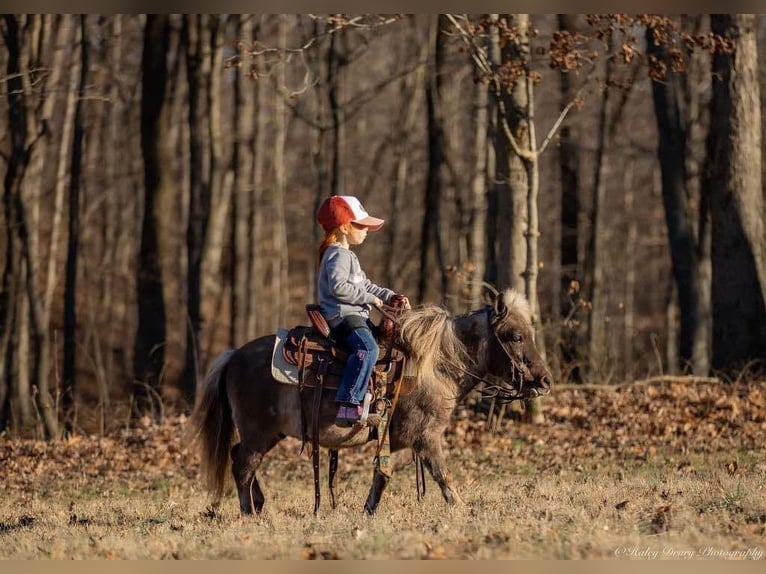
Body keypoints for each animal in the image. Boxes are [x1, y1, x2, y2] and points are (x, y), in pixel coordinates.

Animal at [190, 290, 552, 516]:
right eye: (516, 336)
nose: (544, 380)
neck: (436, 363)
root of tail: (233, 355)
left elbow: (383, 474)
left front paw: (369, 510)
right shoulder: (428, 437)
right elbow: (442, 476)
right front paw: (462, 509)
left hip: (266, 435)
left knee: (240, 459)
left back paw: (259, 503)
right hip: (257, 433)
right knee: (243, 466)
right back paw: (248, 511)